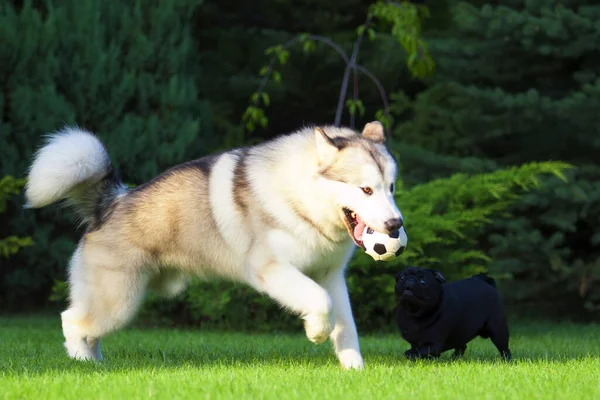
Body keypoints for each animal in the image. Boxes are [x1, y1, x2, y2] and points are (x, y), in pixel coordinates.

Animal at [25, 121, 406, 368]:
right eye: (365, 190)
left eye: (390, 188)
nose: (395, 225)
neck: (300, 199)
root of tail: (111, 202)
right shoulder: (271, 270)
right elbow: (319, 301)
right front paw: (315, 331)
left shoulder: (331, 276)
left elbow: (347, 327)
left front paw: (354, 370)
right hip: (119, 301)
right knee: (72, 321)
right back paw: (80, 363)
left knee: (90, 330)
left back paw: (97, 363)